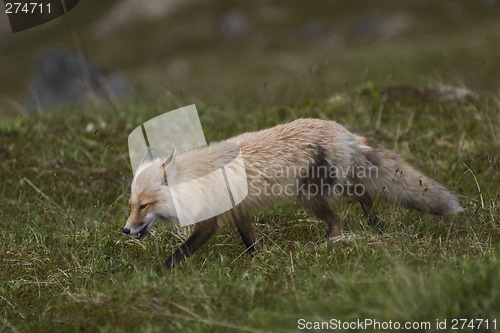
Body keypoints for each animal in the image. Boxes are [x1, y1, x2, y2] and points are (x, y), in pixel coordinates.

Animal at [122, 118, 464, 268]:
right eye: (131, 205)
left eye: (144, 206)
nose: (124, 230)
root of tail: (342, 131)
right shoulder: (238, 210)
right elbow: (250, 241)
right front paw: (259, 261)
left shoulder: (211, 221)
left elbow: (181, 252)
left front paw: (157, 273)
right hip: (334, 186)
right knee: (363, 195)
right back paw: (374, 225)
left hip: (311, 197)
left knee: (339, 218)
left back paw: (331, 245)